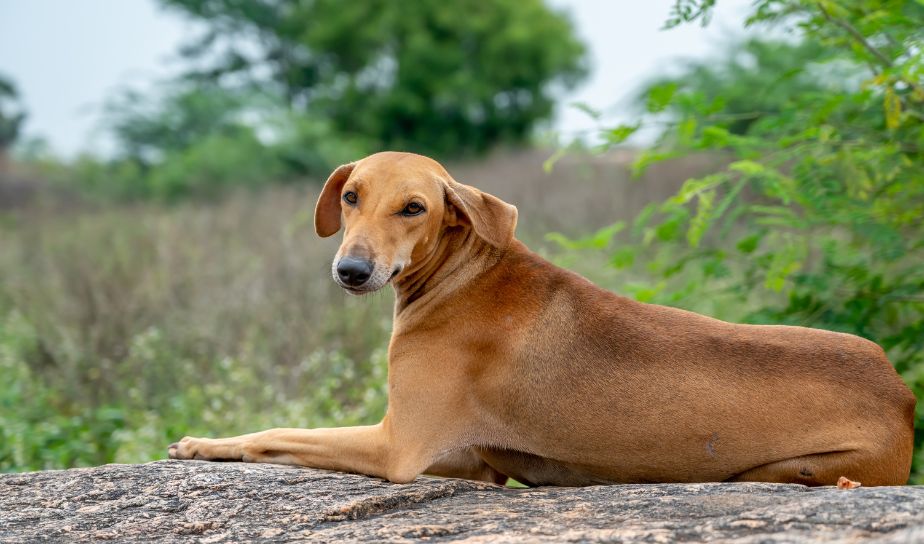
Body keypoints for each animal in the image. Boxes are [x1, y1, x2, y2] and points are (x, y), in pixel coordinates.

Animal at [168, 151, 916, 486]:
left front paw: (204, 444)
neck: (462, 273)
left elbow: (275, 432)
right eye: (350, 196)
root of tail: (901, 392)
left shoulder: (396, 447)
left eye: (413, 208)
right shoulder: (467, 461)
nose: (351, 271)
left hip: (791, 470)